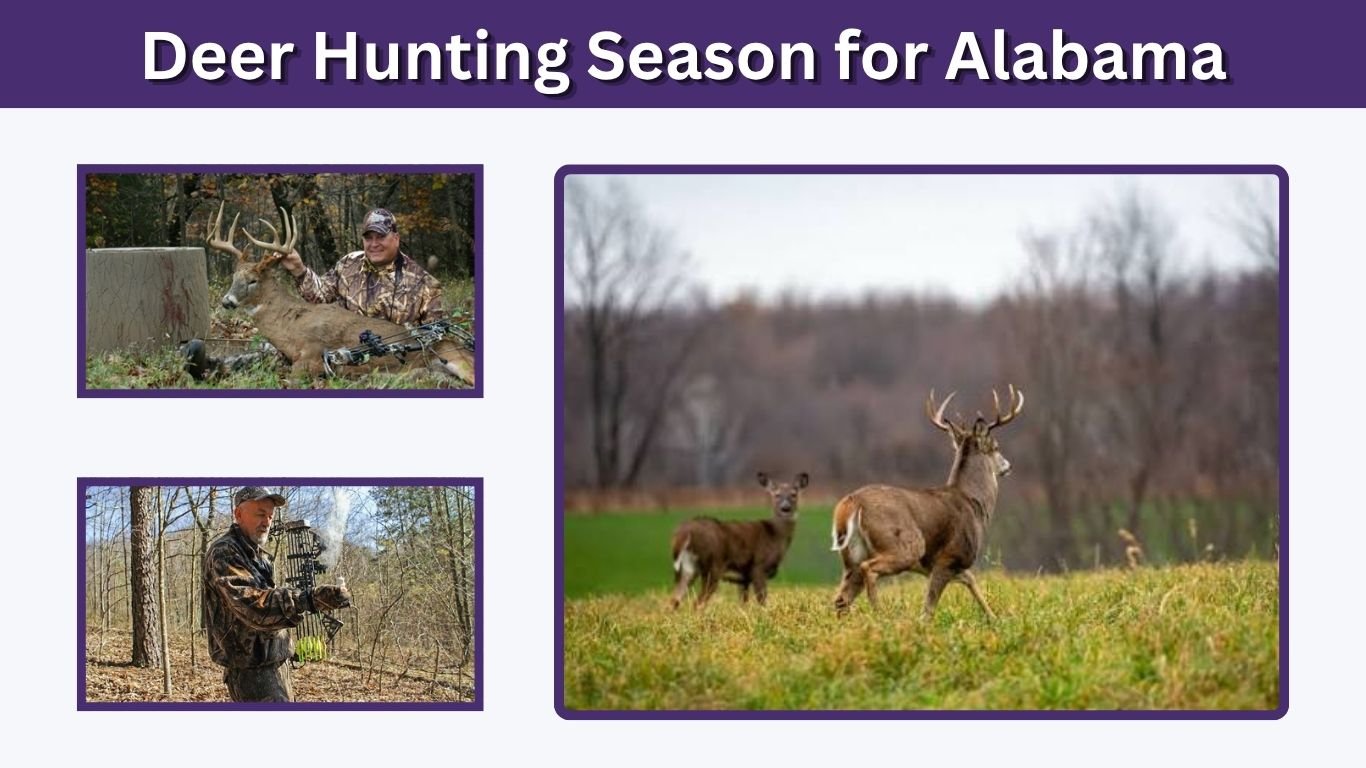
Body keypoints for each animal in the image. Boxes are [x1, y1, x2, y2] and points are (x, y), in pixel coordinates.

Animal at [207, 202, 476, 385]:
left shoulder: (313, 354)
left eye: (252, 281)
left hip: (458, 357)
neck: (290, 327)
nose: (227, 301)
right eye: (234, 278)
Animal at [670, 471, 810, 609]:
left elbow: (743, 604)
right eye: (777, 495)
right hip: (712, 567)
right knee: (697, 604)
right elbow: (762, 601)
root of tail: (684, 532)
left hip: (688, 568)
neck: (775, 535)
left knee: (674, 600)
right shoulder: (758, 568)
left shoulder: (743, 579)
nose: (785, 508)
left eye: (794, 494)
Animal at [830, 385, 1024, 621]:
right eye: (996, 446)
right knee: (869, 570)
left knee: (841, 599)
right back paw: (881, 616)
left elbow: (972, 581)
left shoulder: (952, 566)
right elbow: (928, 609)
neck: (973, 503)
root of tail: (851, 504)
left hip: (851, 556)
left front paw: (994, 619)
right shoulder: (949, 556)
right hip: (905, 545)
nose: (1008, 466)